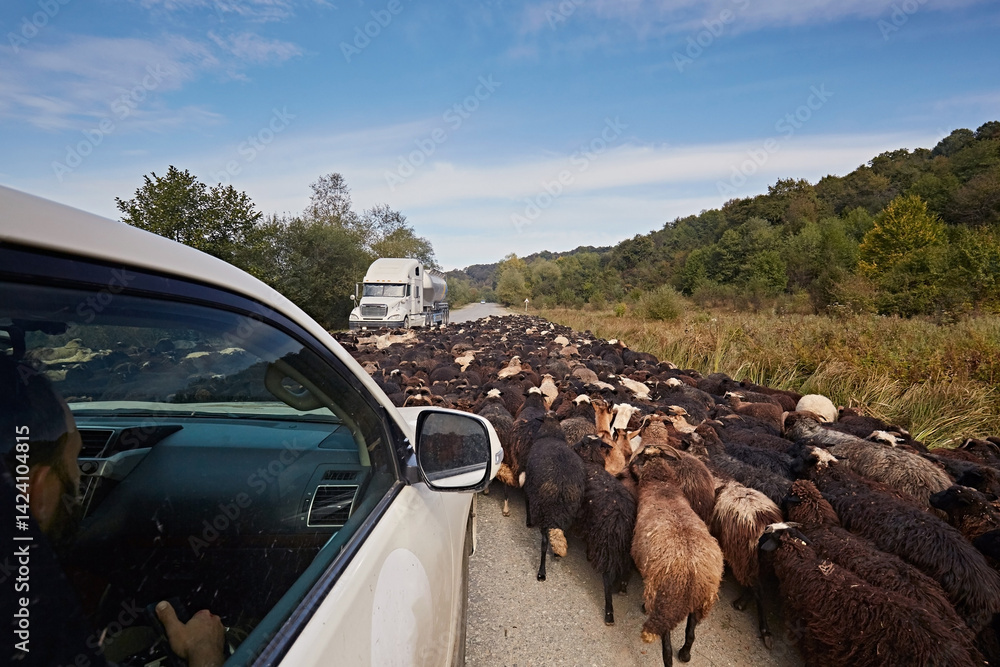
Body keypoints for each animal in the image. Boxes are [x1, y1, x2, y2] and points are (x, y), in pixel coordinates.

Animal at [523, 414, 586, 581]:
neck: (551, 434)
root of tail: (561, 486)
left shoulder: (530, 482)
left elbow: (526, 498)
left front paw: (528, 521)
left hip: (544, 511)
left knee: (544, 543)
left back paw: (542, 572)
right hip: (566, 513)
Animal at [572, 435, 638, 625]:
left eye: (583, 442)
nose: (573, 447)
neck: (591, 462)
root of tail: (621, 520)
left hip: (608, 547)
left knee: (607, 579)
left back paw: (609, 614)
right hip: (625, 549)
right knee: (627, 570)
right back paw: (622, 588)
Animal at [630, 453, 724, 666]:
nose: (630, 465)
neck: (663, 489)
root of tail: (690, 574)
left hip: (666, 600)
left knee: (666, 643)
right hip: (699, 600)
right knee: (690, 632)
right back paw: (685, 654)